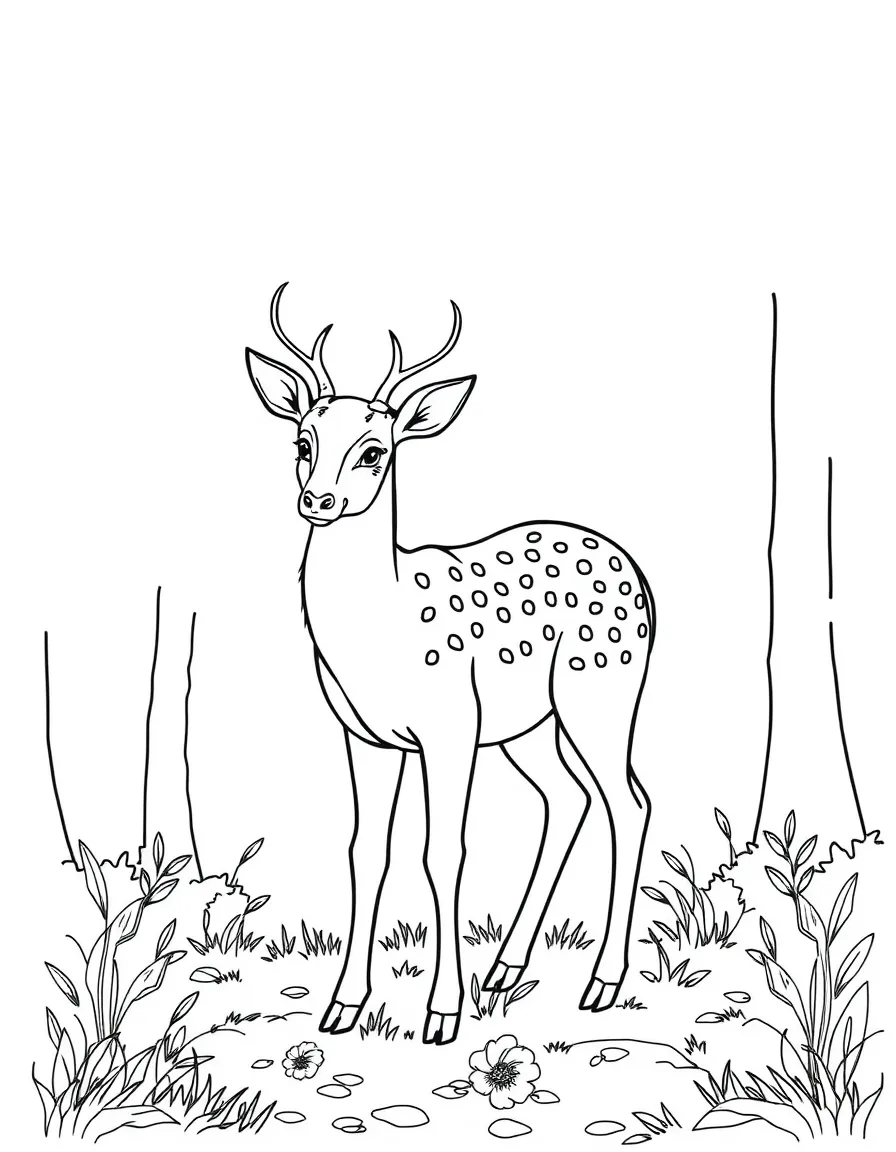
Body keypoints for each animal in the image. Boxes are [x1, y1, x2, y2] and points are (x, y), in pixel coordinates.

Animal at [245, 285, 655, 1045]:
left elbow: (445, 852)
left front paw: (440, 1015)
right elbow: (366, 851)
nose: (319, 500)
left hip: (602, 692)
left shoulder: (449, 728)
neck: (380, 632)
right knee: (569, 799)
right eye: (302, 441)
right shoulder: (367, 736)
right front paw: (342, 1007)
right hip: (531, 725)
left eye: (375, 451)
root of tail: (638, 576)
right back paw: (505, 971)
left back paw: (601, 984)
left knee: (629, 800)